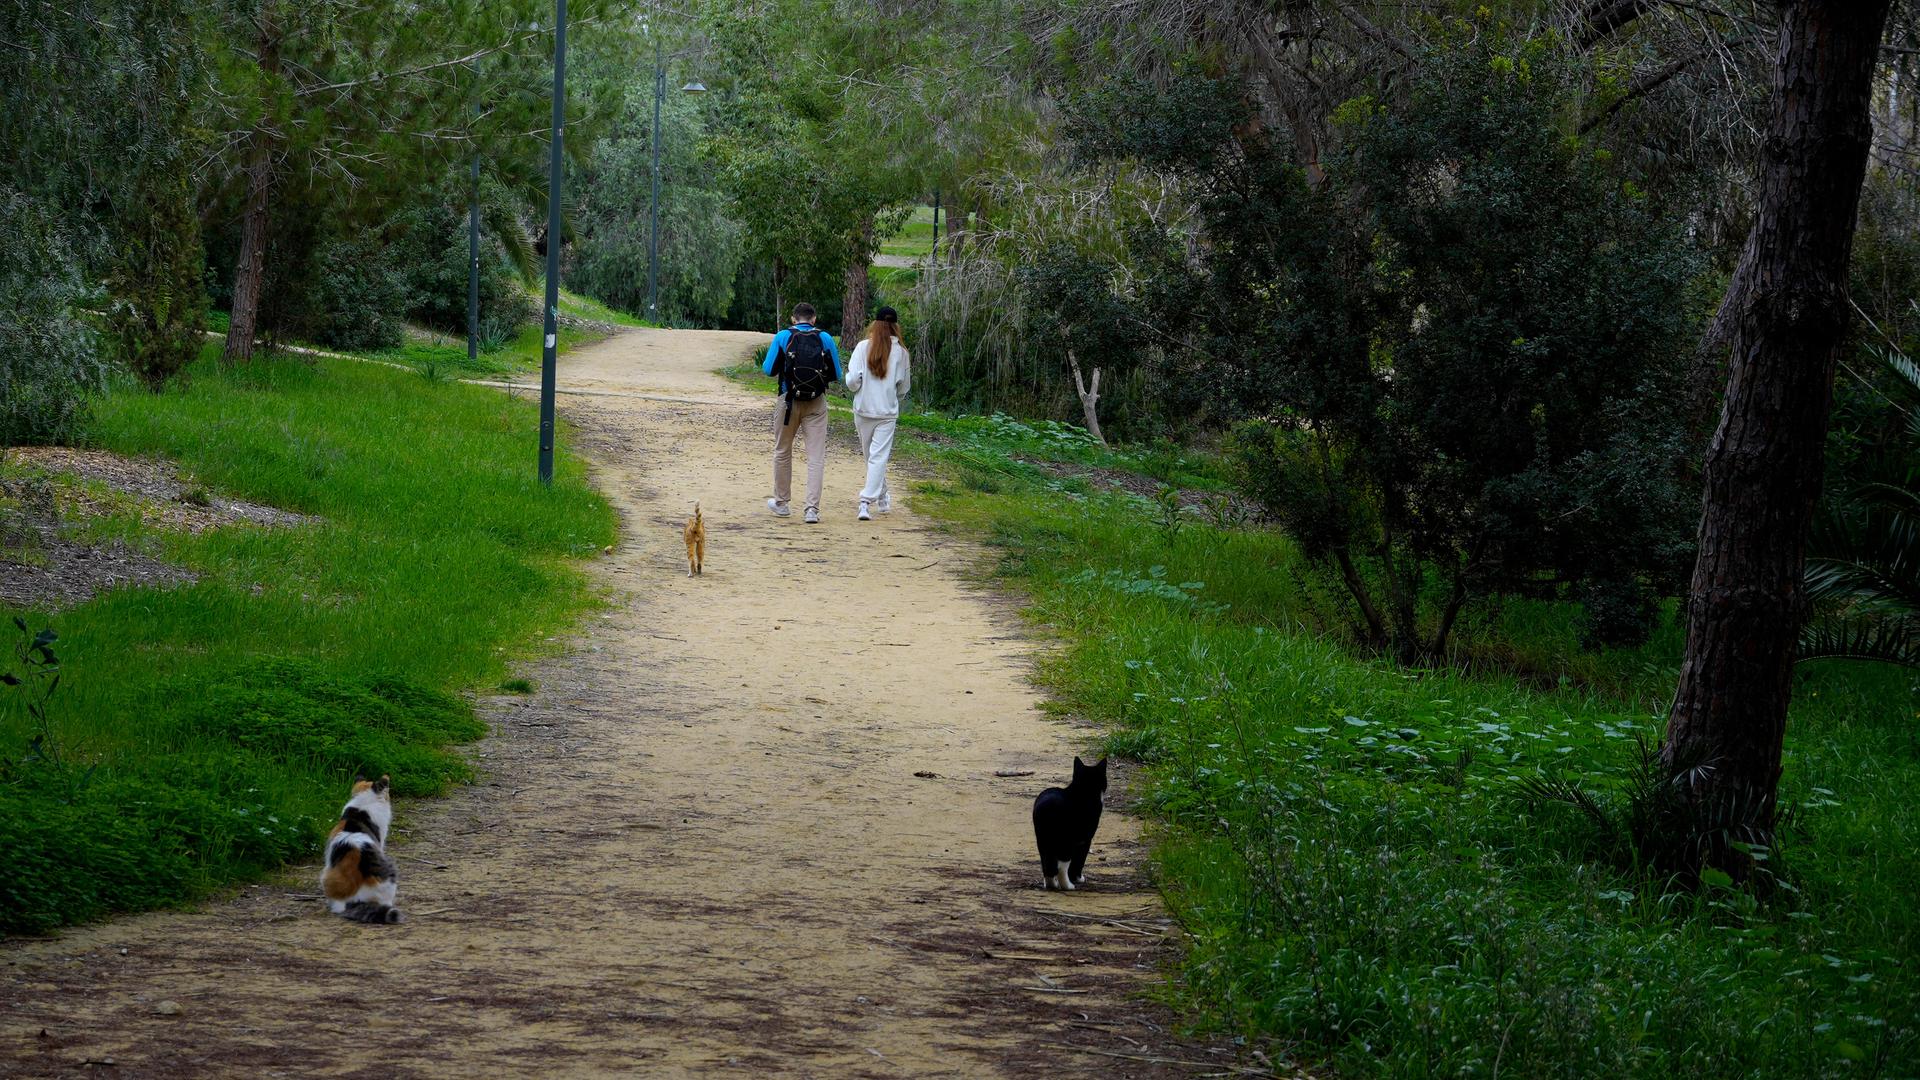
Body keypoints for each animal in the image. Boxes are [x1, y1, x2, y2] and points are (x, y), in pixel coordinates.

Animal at [1029, 753, 1105, 887]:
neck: (1084, 791)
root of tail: (1048, 807)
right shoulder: (1085, 840)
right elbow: (1079, 861)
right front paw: (1078, 878)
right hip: (1066, 840)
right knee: (1062, 865)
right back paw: (1068, 886)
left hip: (1043, 840)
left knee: (1048, 864)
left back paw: (1051, 885)